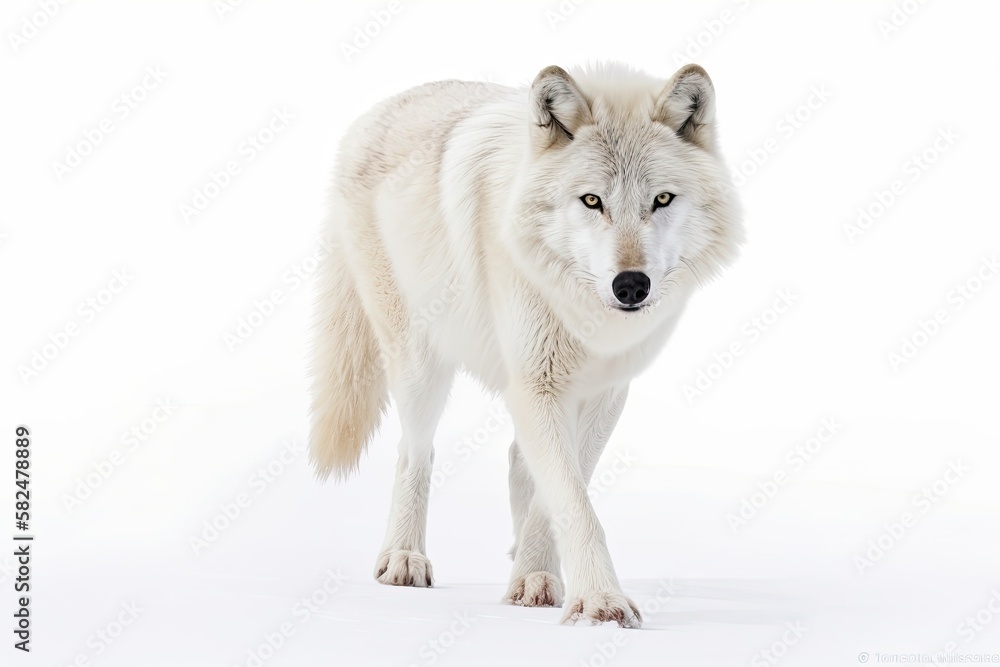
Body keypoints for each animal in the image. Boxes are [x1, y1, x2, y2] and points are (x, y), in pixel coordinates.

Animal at [312, 61, 744, 628]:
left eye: (662, 200)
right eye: (592, 201)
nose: (631, 286)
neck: (582, 313)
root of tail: (371, 114)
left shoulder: (603, 391)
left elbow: (557, 490)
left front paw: (538, 579)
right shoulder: (537, 385)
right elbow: (572, 500)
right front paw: (600, 601)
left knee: (517, 457)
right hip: (419, 364)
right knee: (414, 450)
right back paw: (404, 558)